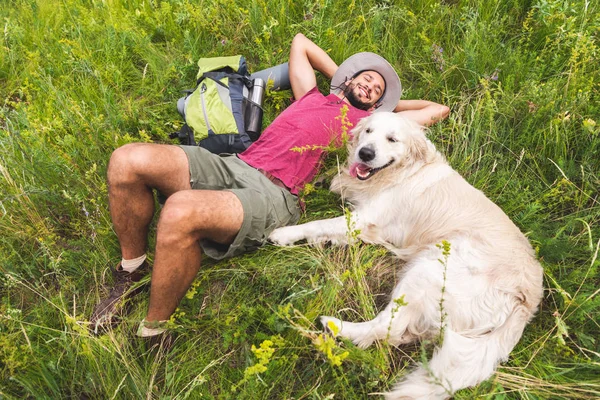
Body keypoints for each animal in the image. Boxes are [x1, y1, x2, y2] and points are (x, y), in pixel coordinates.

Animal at [268, 112, 544, 400]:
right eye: (368, 131)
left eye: (392, 139)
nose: (365, 153)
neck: (404, 171)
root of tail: (526, 302)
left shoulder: (364, 218)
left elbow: (317, 224)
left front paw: (284, 234)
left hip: (430, 268)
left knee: (385, 325)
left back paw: (334, 325)